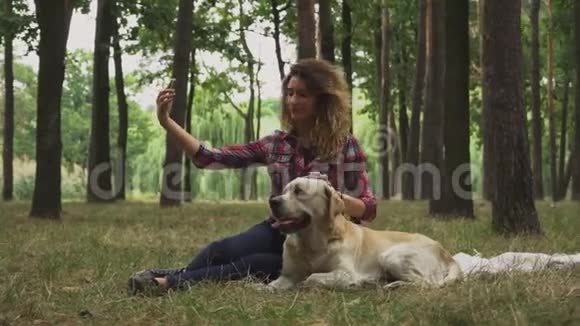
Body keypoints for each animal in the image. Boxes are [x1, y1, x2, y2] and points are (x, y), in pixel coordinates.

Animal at [266, 177, 462, 290]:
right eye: (284, 191)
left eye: (298, 191)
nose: (272, 201)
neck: (313, 242)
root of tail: (444, 251)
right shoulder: (286, 276)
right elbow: (269, 286)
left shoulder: (345, 273)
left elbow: (311, 277)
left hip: (391, 256)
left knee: (429, 284)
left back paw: (393, 284)